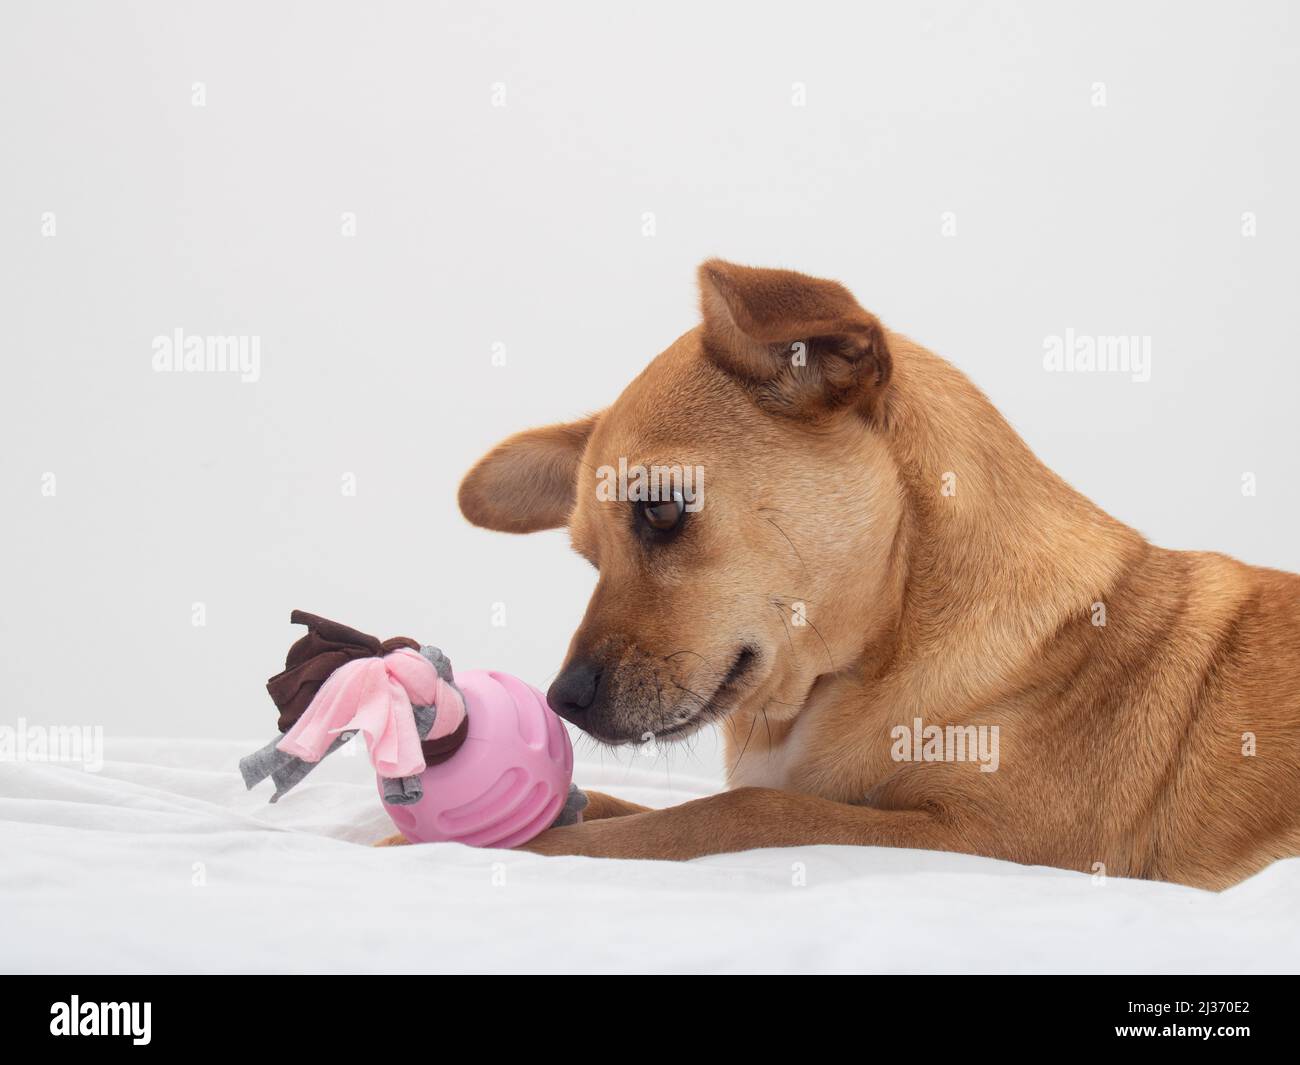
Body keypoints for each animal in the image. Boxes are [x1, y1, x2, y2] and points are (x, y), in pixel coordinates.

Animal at [392, 260, 1300, 889]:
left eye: (661, 511)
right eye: (589, 557)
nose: (563, 700)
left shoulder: (987, 840)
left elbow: (733, 812)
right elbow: (644, 807)